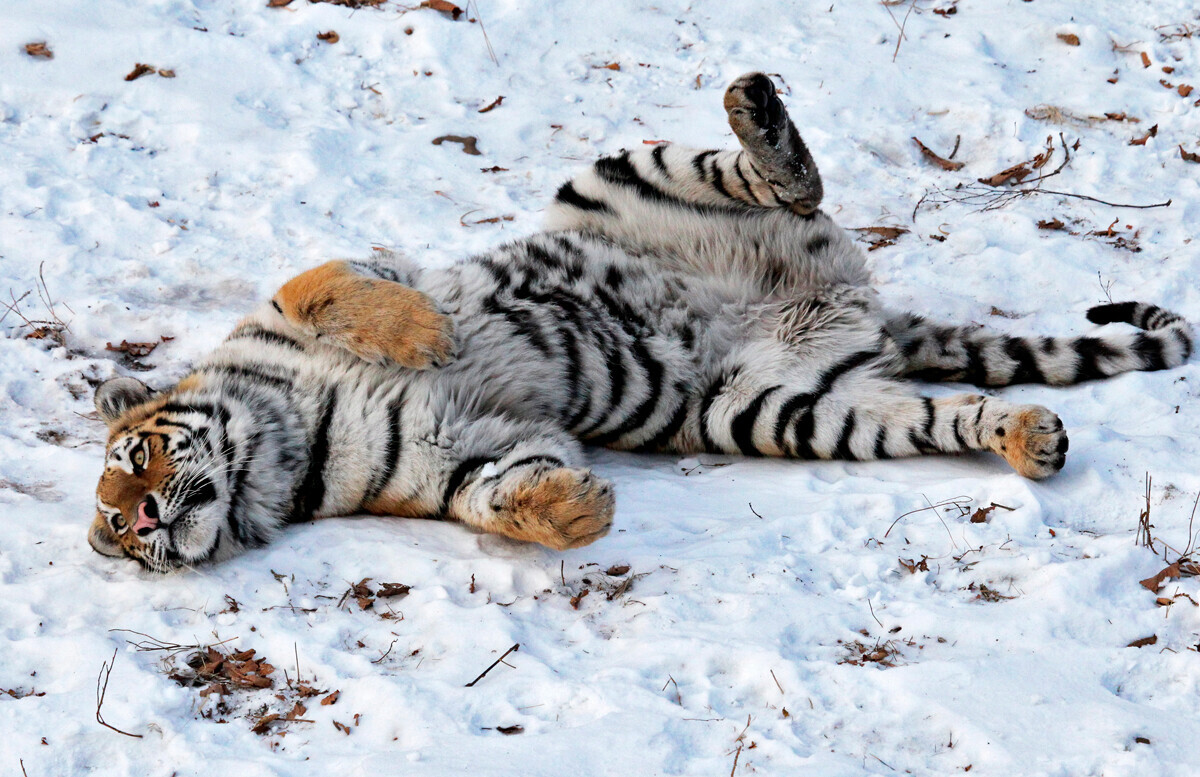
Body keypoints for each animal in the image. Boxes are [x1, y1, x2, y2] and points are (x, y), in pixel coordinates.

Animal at [88, 72, 1195, 570]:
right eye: (115, 535)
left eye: (134, 462)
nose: (133, 524)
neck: (284, 448)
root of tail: (857, 307)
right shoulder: (458, 449)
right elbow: (489, 495)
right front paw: (575, 512)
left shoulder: (314, 295)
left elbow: (324, 283)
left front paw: (424, 336)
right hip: (790, 409)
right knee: (945, 414)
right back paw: (1029, 437)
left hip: (613, 180)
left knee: (784, 179)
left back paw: (755, 108)